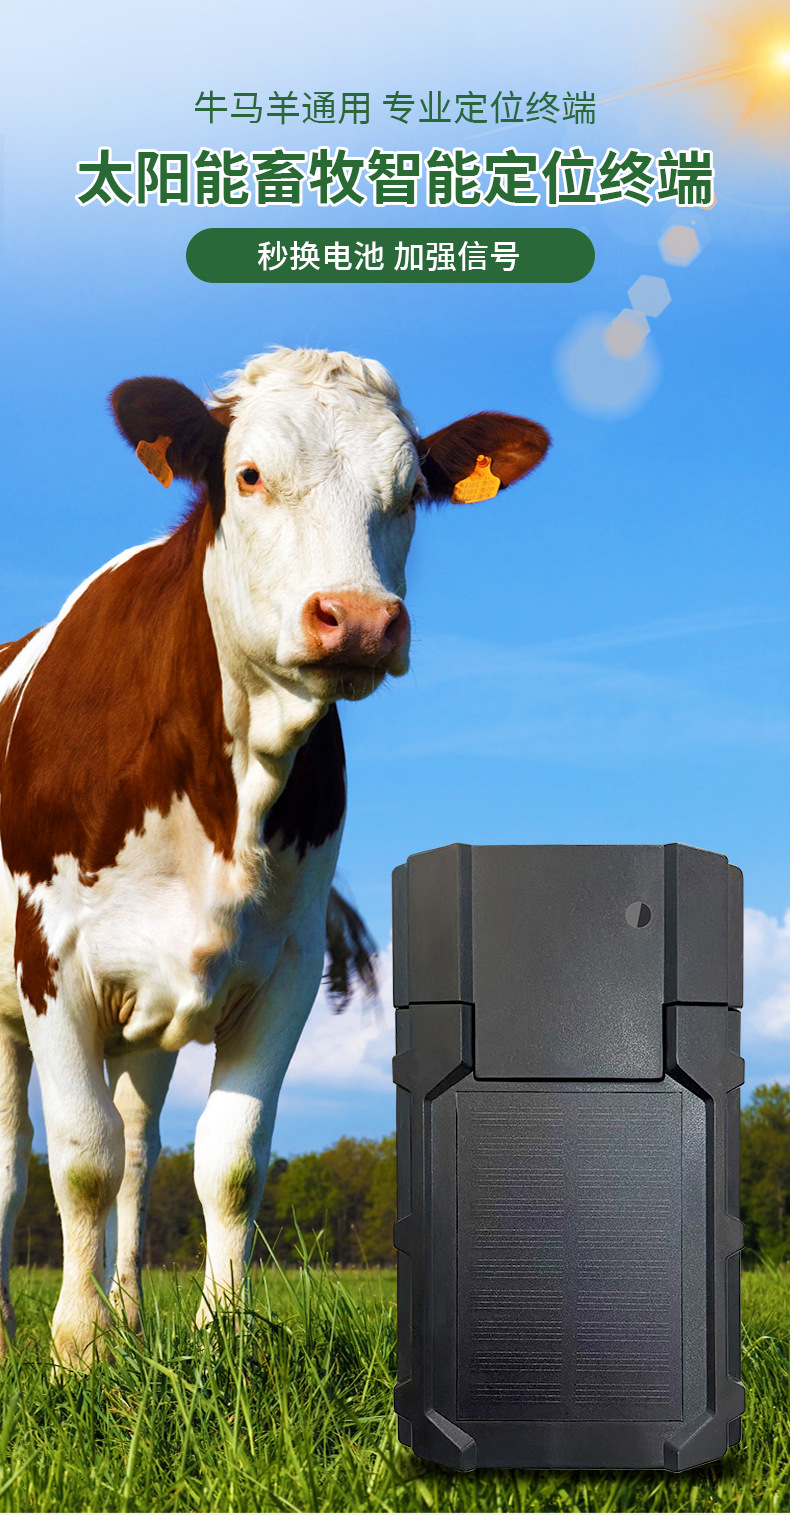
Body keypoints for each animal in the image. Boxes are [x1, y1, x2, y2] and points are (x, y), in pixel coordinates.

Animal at [0, 347, 549, 1365]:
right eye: (249, 474)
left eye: (411, 489)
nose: (361, 619)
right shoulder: (54, 959)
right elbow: (82, 1159)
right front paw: (78, 1351)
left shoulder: (286, 967)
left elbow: (228, 1160)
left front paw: (217, 1339)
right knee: (19, 1158)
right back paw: (26, 1329)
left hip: (145, 1022)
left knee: (140, 1145)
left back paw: (132, 1316)